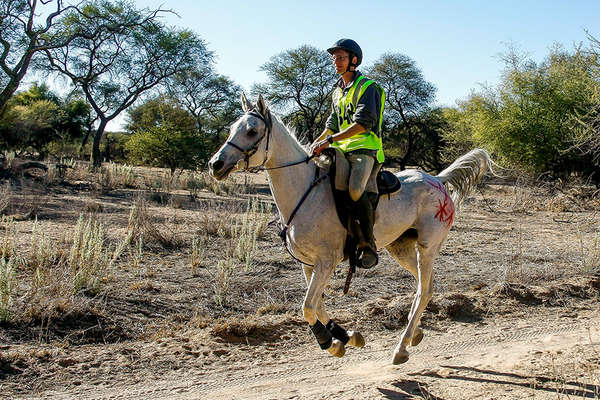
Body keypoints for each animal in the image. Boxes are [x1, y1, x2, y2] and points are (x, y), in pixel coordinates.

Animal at [209, 94, 490, 366]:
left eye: (251, 131)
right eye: (232, 128)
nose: (215, 164)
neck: (306, 191)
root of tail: (437, 180)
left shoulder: (327, 261)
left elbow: (308, 307)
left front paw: (330, 343)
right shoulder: (308, 264)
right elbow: (318, 306)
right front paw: (347, 337)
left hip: (427, 248)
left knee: (424, 290)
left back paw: (400, 347)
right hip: (401, 248)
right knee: (426, 285)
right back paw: (414, 334)